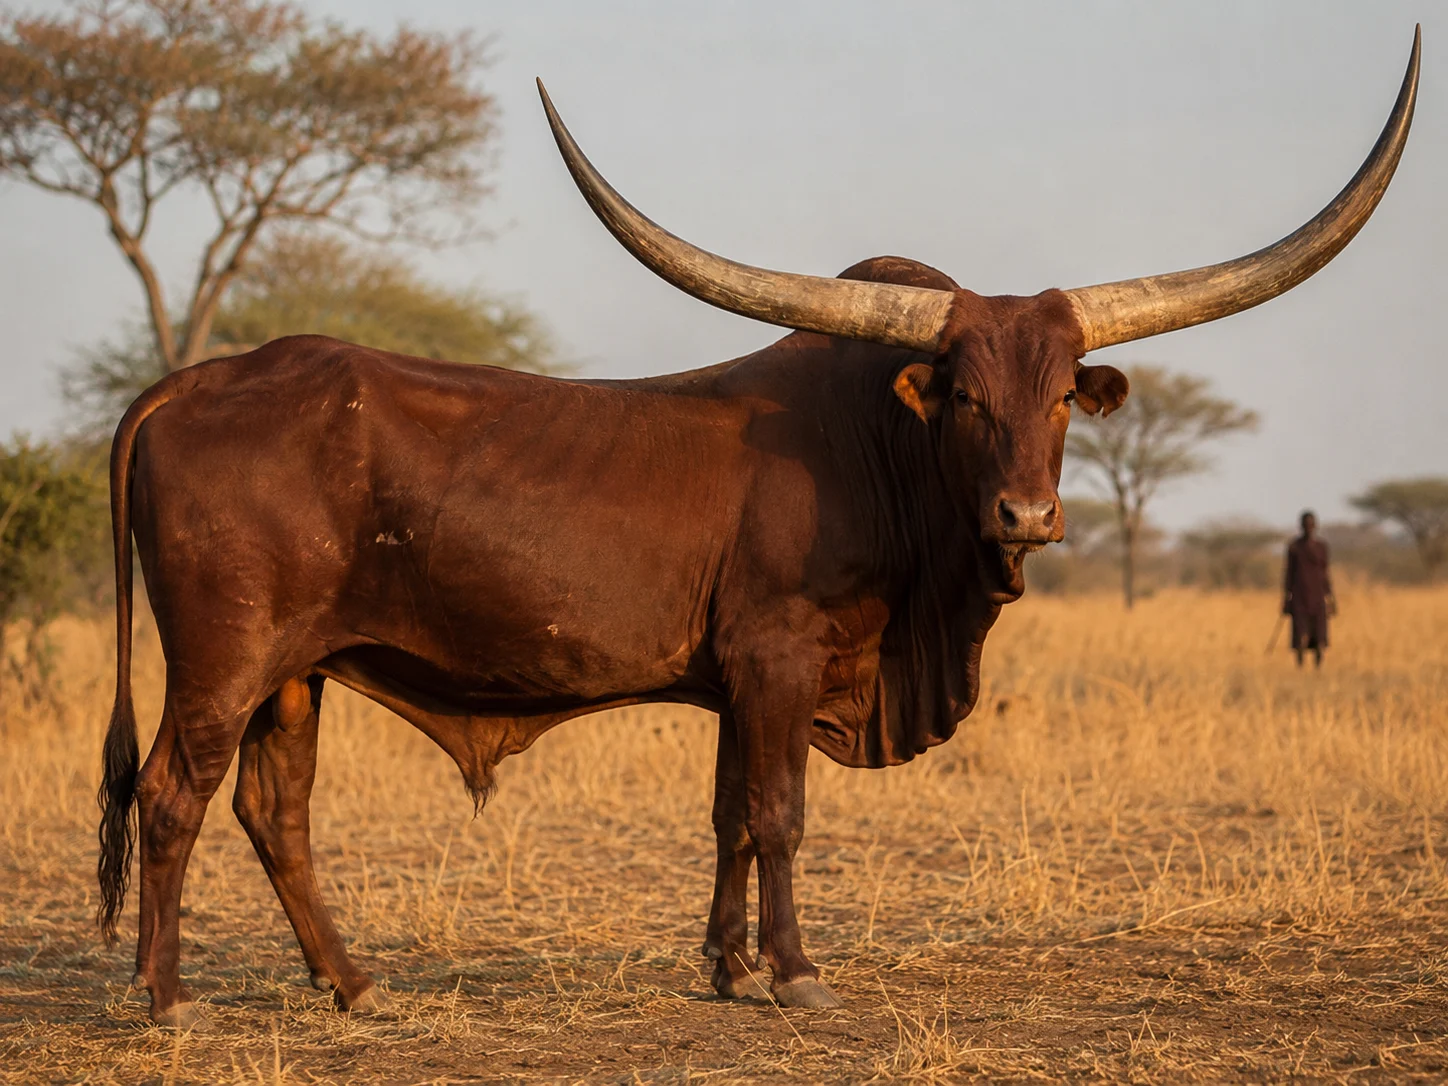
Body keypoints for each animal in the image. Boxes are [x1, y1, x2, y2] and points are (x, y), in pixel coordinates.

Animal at [97, 31, 1418, 1028]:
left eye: (1057, 398)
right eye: (965, 395)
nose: (1028, 515)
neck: (878, 447)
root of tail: (193, 380)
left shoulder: (734, 678)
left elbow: (729, 815)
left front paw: (726, 968)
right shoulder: (780, 659)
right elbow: (780, 814)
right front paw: (793, 974)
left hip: (297, 672)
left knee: (273, 811)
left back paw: (354, 985)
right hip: (221, 660)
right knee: (171, 794)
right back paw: (167, 998)